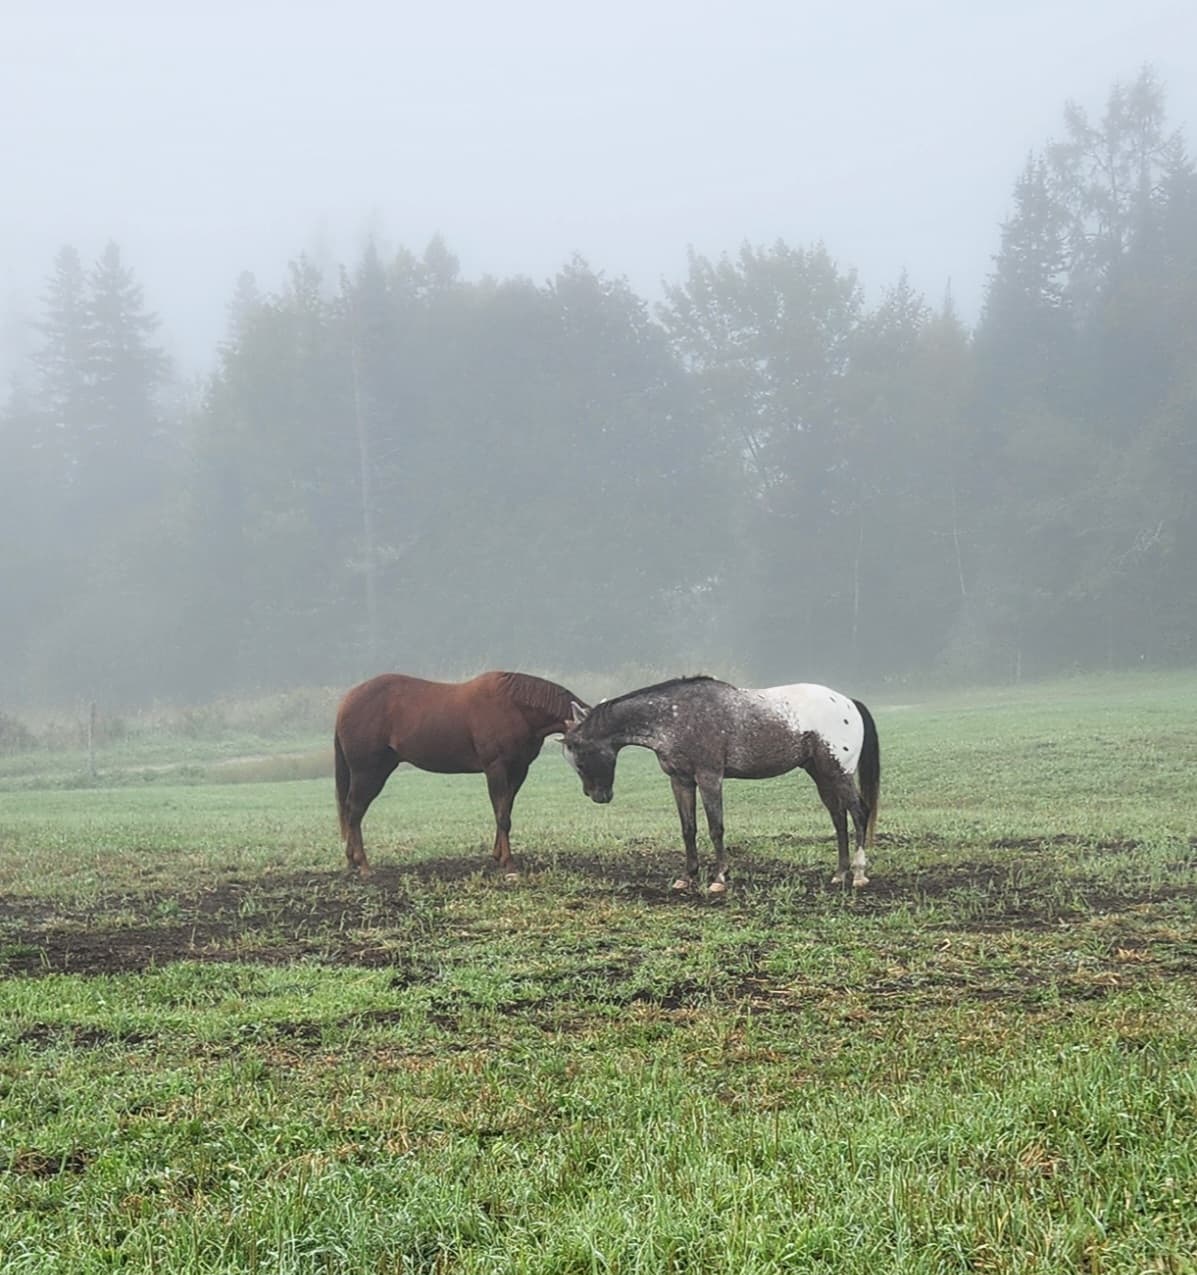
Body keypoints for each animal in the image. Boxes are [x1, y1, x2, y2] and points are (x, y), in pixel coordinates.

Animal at [334, 670, 586, 876]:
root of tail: (346, 702)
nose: (595, 792)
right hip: (367, 772)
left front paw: (498, 855)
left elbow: (505, 811)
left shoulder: (518, 770)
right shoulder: (495, 768)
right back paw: (363, 865)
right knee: (354, 811)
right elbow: (502, 816)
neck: (514, 707)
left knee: (351, 811)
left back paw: (351, 862)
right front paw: (508, 863)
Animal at [562, 675, 880, 893]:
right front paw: (687, 877)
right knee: (839, 819)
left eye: (581, 757)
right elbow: (688, 829)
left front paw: (719, 879)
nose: (598, 796)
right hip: (822, 775)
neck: (674, 716)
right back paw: (839, 873)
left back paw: (859, 874)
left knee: (859, 813)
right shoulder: (681, 781)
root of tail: (849, 702)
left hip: (840, 774)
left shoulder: (709, 778)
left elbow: (716, 828)